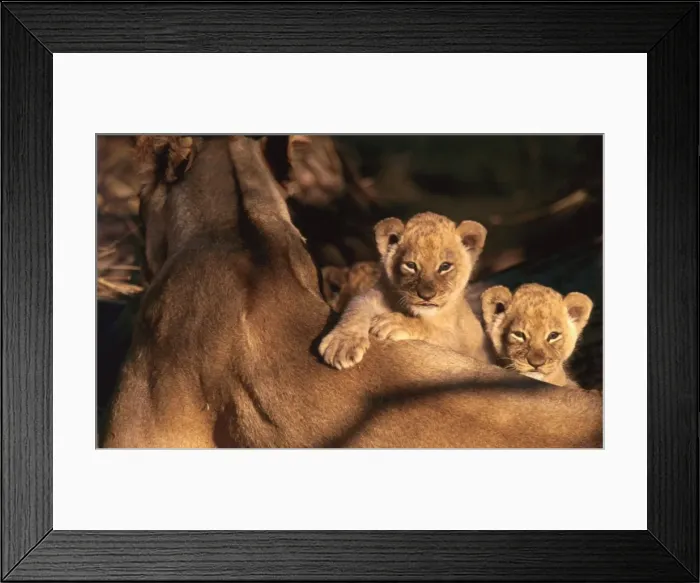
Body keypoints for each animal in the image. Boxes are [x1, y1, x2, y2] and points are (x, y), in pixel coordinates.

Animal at [318, 212, 492, 370]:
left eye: (445, 266)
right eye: (411, 265)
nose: (426, 296)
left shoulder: (471, 346)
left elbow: (438, 332)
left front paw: (395, 323)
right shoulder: (374, 294)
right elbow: (356, 306)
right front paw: (342, 344)